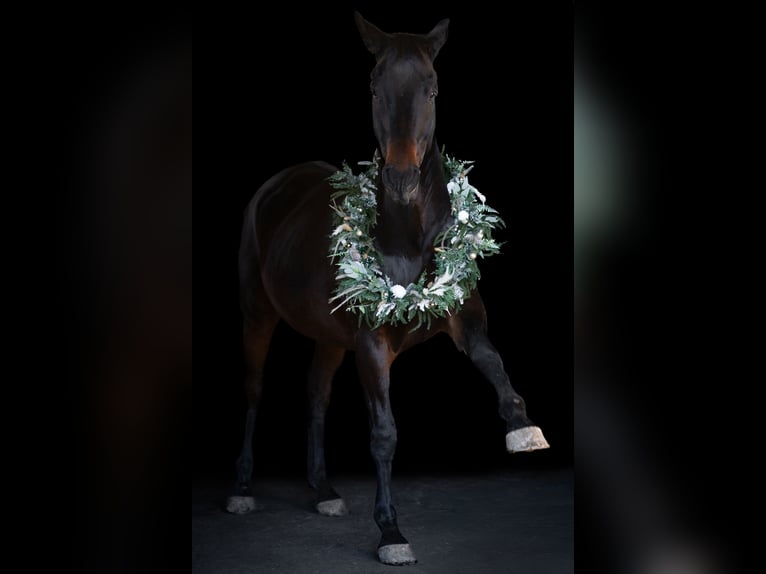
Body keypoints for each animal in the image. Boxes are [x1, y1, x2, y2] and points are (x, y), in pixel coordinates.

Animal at [226, 12, 550, 566]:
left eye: (433, 87)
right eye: (374, 87)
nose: (401, 179)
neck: (408, 234)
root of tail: (276, 185)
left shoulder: (461, 312)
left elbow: (492, 361)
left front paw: (521, 425)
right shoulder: (371, 344)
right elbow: (384, 434)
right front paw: (391, 531)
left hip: (328, 337)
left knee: (315, 394)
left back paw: (324, 490)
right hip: (257, 315)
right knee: (253, 390)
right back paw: (244, 488)